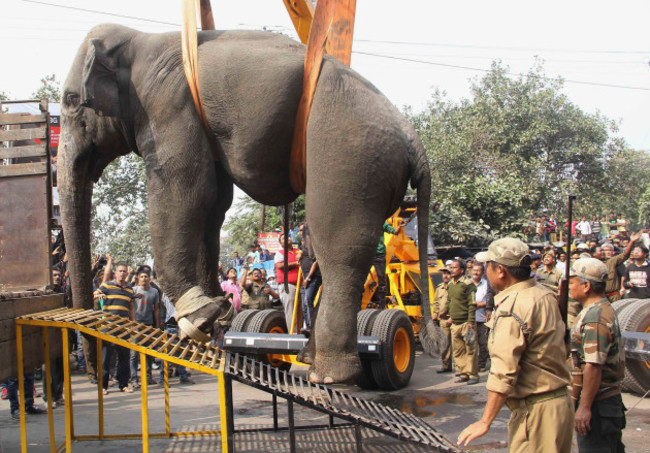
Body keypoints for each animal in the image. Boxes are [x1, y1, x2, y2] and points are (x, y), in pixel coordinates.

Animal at [59, 24, 431, 385]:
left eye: (70, 99)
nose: (94, 374)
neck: (138, 39)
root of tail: (412, 139)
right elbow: (212, 202)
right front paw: (216, 313)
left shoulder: (169, 108)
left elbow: (182, 189)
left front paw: (200, 316)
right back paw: (306, 355)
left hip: (350, 152)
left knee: (340, 252)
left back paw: (326, 373)